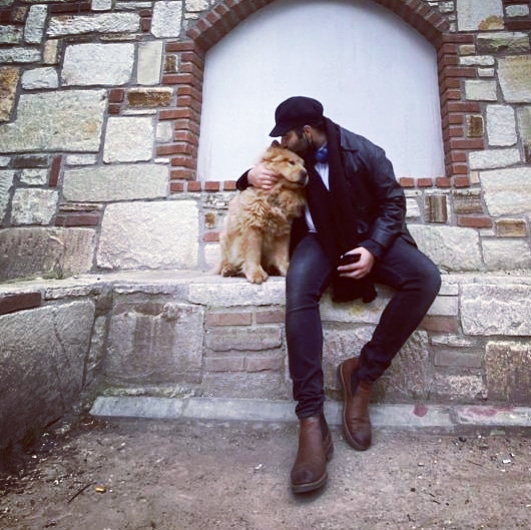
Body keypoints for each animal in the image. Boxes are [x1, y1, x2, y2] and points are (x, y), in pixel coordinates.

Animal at [215, 141, 308, 284]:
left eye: (303, 165)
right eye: (291, 162)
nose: (306, 174)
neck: (276, 194)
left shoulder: (283, 231)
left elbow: (283, 254)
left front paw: (286, 269)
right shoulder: (253, 228)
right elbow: (253, 254)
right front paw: (256, 274)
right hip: (226, 238)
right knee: (225, 261)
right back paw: (228, 270)